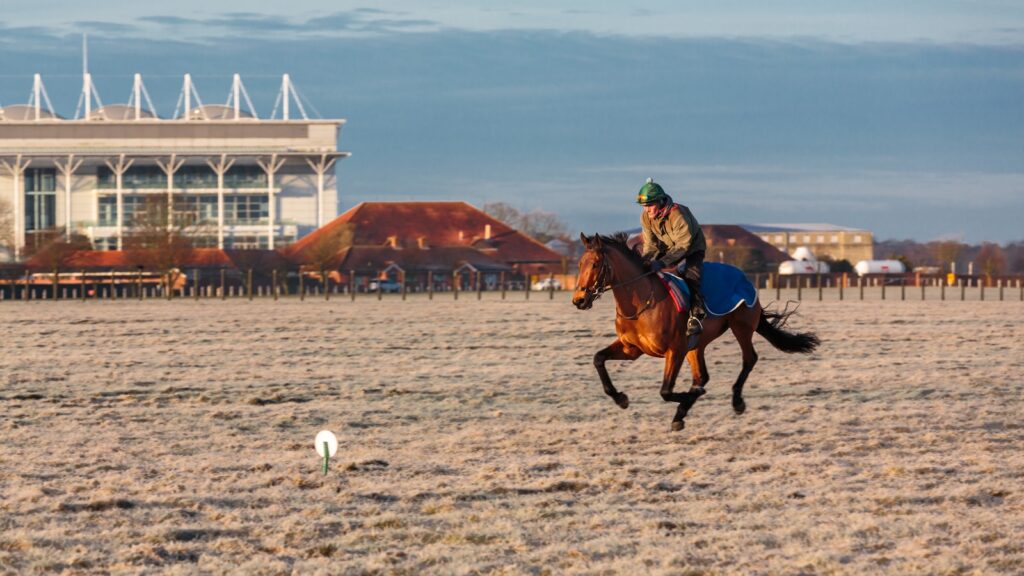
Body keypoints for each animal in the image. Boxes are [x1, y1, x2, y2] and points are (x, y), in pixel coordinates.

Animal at [572, 232, 820, 431]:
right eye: (580, 264)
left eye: (595, 264)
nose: (579, 300)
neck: (641, 303)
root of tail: (743, 276)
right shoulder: (632, 349)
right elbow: (598, 359)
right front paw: (620, 398)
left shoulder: (675, 350)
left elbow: (666, 391)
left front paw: (691, 397)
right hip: (697, 344)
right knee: (702, 376)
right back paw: (681, 413)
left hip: (741, 326)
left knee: (749, 358)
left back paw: (736, 401)